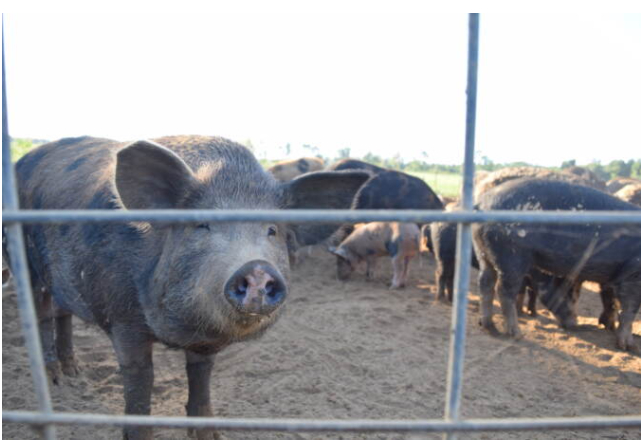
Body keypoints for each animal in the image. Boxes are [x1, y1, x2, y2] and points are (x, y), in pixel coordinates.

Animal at [11, 136, 370, 438]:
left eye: (272, 230)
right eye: (202, 225)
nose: (257, 269)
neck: (183, 330)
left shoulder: (204, 345)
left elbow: (200, 378)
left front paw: (209, 435)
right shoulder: (123, 319)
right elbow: (140, 379)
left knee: (62, 312)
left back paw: (73, 372)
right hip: (22, 259)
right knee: (40, 313)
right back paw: (55, 379)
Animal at [470, 177, 640, 352]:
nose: (575, 324)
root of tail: (481, 203)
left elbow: (611, 301)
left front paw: (609, 328)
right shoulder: (633, 273)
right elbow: (629, 308)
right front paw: (630, 347)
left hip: (484, 251)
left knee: (485, 283)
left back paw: (489, 327)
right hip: (511, 255)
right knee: (503, 290)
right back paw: (517, 335)